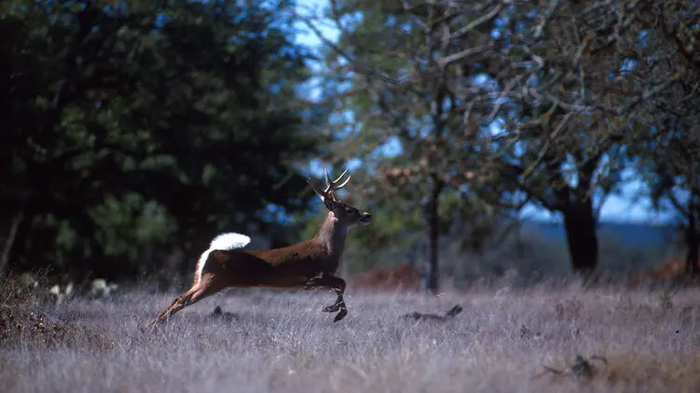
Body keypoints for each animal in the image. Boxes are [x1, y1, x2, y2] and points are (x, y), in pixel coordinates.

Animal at [143, 168, 372, 328]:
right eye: (349, 210)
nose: (367, 215)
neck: (326, 249)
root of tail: (211, 251)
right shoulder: (313, 277)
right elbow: (342, 283)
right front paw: (335, 311)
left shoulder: (316, 280)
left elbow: (340, 285)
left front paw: (333, 309)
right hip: (212, 281)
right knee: (183, 299)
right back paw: (151, 327)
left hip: (202, 280)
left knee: (178, 297)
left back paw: (150, 327)